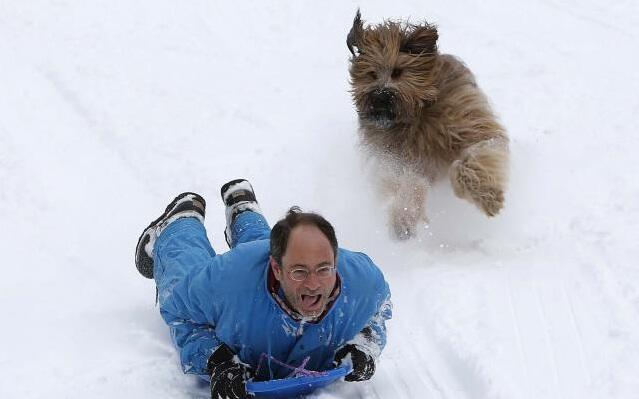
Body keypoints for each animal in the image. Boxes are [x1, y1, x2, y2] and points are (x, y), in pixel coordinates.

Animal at [348, 10, 508, 239]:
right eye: (371, 74)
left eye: (397, 72)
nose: (380, 96)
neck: (417, 115)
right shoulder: (396, 159)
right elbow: (411, 182)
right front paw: (403, 218)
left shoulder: (468, 124)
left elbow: (475, 155)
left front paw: (487, 196)